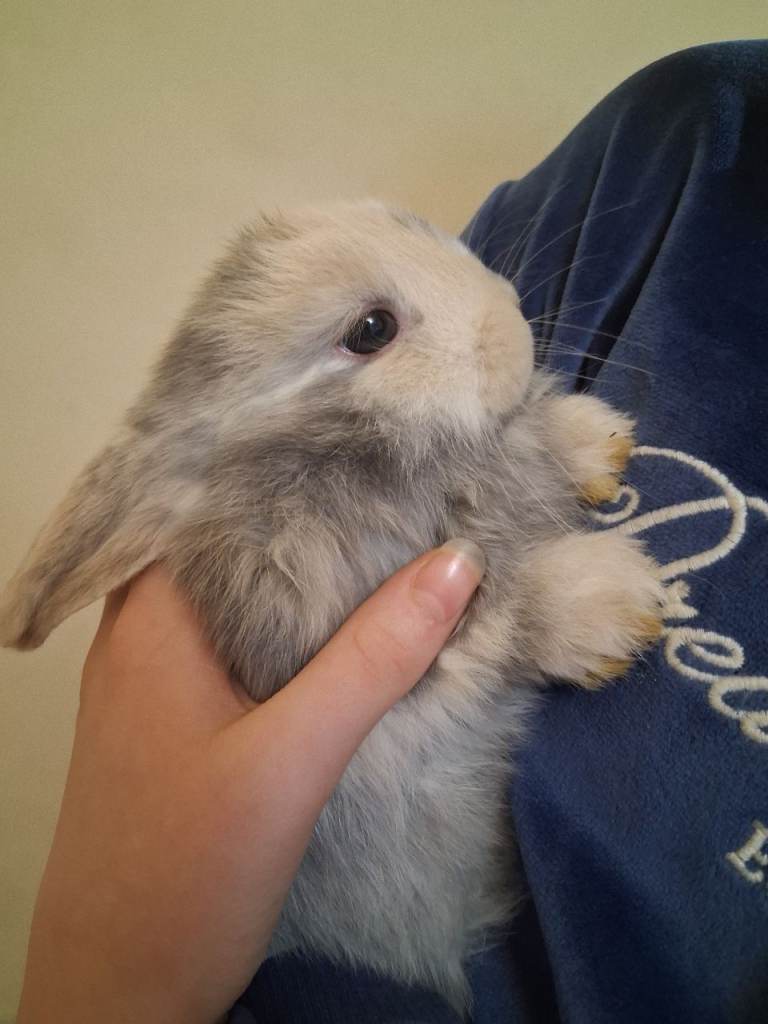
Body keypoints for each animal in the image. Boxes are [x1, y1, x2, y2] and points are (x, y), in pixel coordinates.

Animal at [0, 199, 664, 1012]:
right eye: (371, 330)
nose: (510, 315)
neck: (351, 454)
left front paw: (596, 440)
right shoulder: (365, 652)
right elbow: (495, 618)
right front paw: (617, 600)